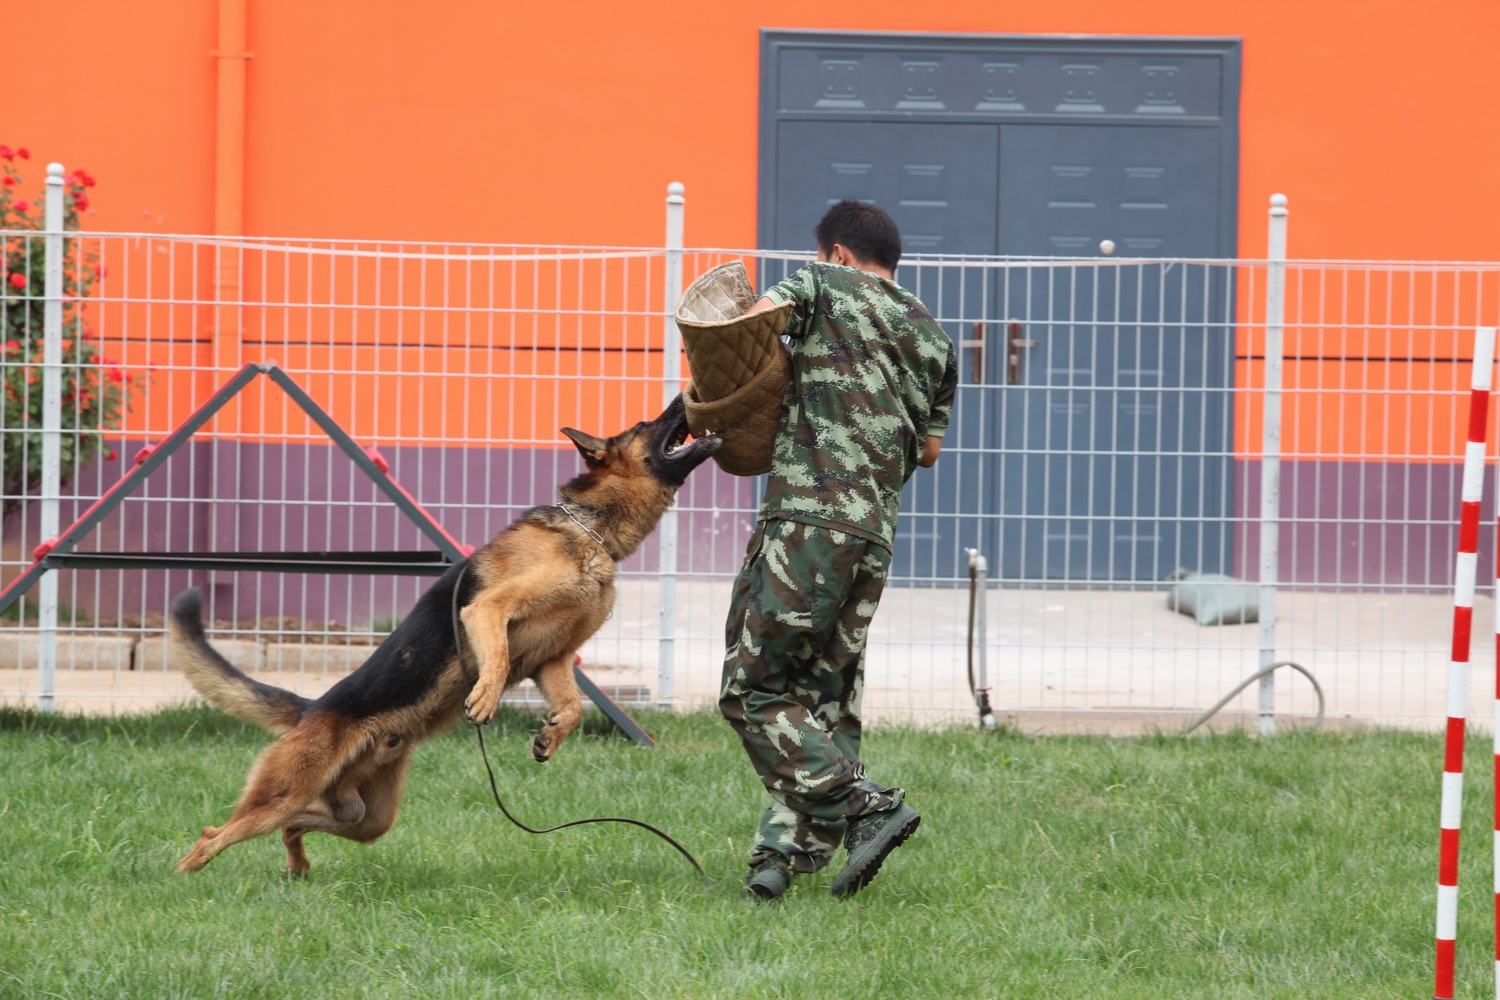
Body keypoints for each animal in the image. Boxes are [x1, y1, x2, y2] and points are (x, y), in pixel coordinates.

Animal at [170, 395, 720, 875]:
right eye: (646, 424)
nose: (685, 395)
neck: (591, 530)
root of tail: (313, 709)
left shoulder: (555, 659)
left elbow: (573, 706)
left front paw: (550, 737)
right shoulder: (488, 609)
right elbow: (498, 656)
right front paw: (485, 698)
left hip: (365, 817)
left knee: (301, 825)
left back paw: (297, 866)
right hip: (283, 793)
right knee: (215, 834)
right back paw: (182, 879)